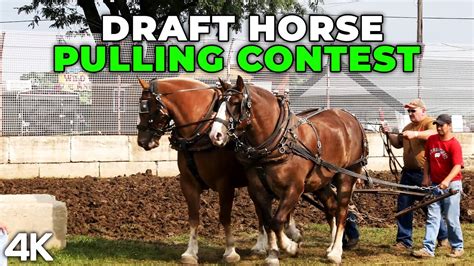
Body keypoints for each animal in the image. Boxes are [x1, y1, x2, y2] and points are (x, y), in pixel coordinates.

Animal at [137, 77, 300, 264]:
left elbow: (225, 217)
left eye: (146, 108)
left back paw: (286, 235)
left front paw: (230, 251)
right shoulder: (188, 182)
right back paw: (262, 245)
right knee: (262, 211)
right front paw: (190, 252)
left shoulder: (225, 184)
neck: (200, 131)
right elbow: (194, 217)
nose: (142, 141)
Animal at [209, 76, 368, 264]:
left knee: (342, 211)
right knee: (331, 207)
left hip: (347, 175)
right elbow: (268, 222)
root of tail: (351, 117)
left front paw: (291, 246)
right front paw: (272, 255)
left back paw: (336, 253)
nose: (215, 135)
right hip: (322, 181)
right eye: (218, 104)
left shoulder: (294, 189)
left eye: (235, 102)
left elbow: (277, 221)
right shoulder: (259, 190)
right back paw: (331, 247)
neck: (278, 141)